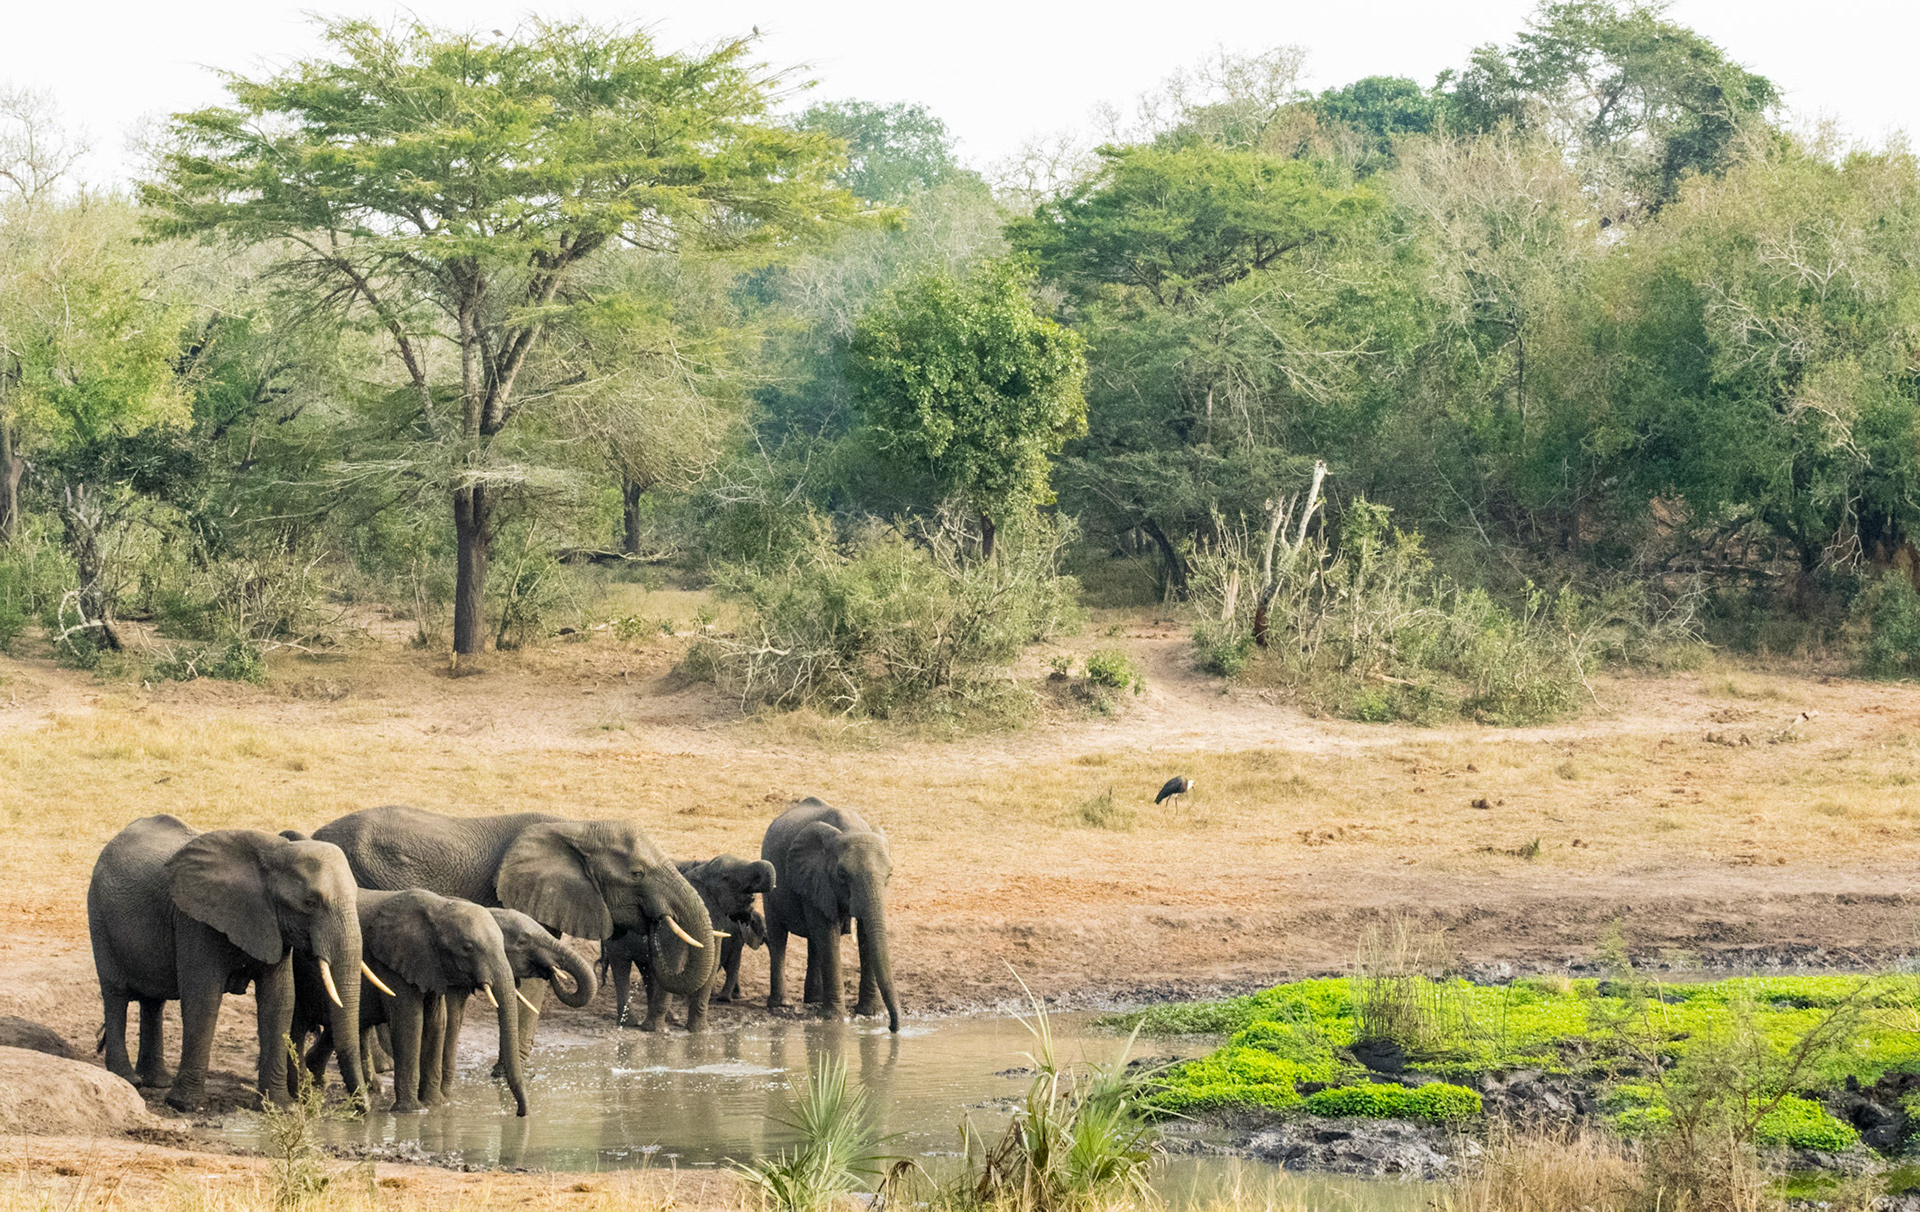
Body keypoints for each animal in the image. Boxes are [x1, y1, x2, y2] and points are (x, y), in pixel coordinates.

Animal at [87, 814, 370, 1106]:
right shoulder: (196, 920)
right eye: (310, 902)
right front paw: (186, 1105)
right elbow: (203, 999)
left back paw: (157, 1082)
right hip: (99, 917)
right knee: (116, 994)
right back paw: (129, 1080)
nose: (364, 1108)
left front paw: (278, 1106)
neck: (274, 853)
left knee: (154, 1001)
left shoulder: (273, 926)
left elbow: (279, 1000)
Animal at [293, 883, 529, 1121]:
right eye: (467, 948)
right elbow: (409, 1023)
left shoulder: (431, 966)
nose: (520, 1113)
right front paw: (412, 1111)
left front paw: (436, 1105)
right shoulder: (393, 964)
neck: (440, 907)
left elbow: (436, 1022)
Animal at [602, 852, 775, 1037]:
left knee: (648, 970)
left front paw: (701, 1032)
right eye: (727, 878)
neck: (702, 868)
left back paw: (671, 1018)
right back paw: (631, 1023)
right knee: (621, 965)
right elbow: (675, 962)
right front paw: (657, 1031)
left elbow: (712, 964)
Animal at [764, 795, 898, 1037]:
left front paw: (872, 1015)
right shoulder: (815, 876)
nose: (892, 1028)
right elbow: (828, 933)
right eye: (842, 875)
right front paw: (836, 1020)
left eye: (890, 874)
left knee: (814, 942)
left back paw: (814, 1000)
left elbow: (864, 936)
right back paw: (781, 1005)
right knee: (779, 938)